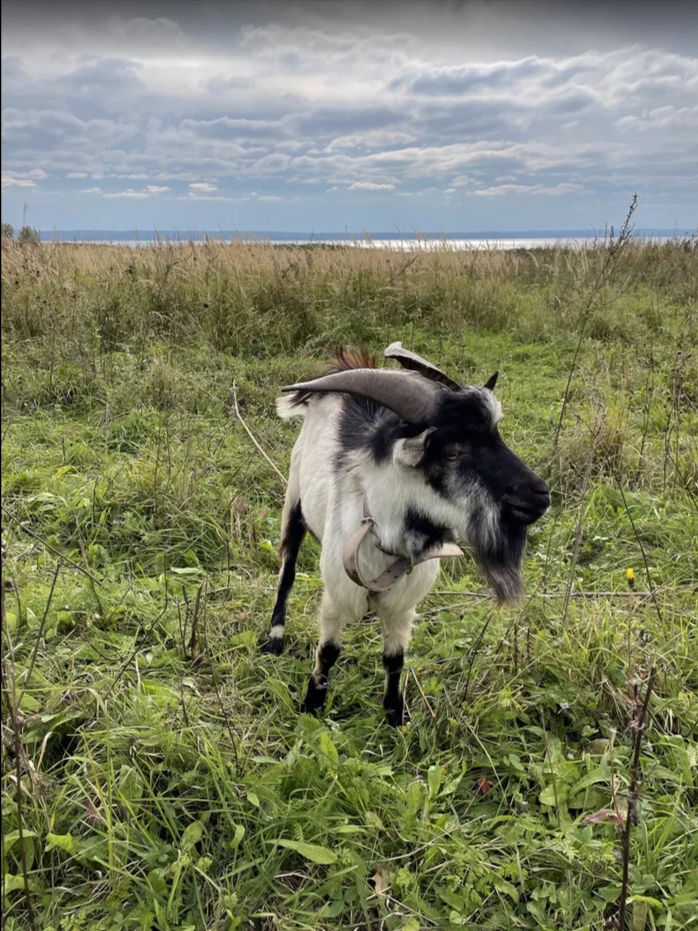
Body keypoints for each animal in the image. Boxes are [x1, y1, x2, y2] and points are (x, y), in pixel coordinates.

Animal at [263, 344, 550, 725]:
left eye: (498, 437)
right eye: (453, 452)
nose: (540, 494)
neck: (383, 535)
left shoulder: (403, 606)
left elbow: (395, 658)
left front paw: (395, 716)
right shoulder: (338, 595)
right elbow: (328, 651)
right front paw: (311, 704)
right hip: (294, 498)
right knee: (288, 570)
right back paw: (274, 638)